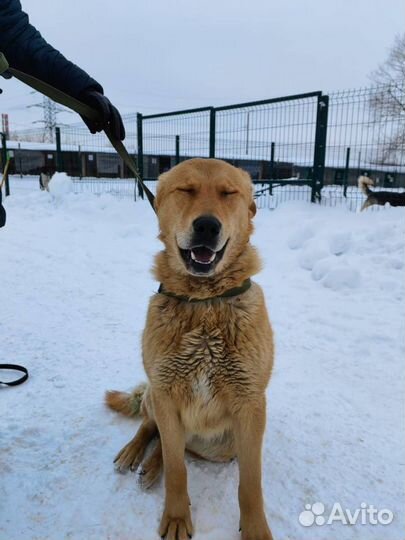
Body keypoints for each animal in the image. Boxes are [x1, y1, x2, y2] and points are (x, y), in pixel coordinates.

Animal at [105, 157, 274, 540]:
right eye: (187, 190)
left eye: (228, 193)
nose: (207, 226)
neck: (204, 302)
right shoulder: (166, 394)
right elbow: (176, 469)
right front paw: (177, 516)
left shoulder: (250, 406)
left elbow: (251, 482)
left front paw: (255, 528)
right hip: (156, 397)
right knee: (153, 431)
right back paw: (134, 453)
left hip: (222, 445)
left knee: (176, 448)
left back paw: (150, 467)